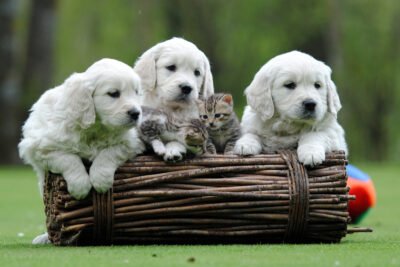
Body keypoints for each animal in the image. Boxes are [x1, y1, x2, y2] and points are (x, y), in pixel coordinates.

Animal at [18, 59, 145, 201]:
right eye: (113, 93)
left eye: (136, 92)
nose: (136, 113)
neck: (96, 128)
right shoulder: (41, 148)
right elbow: (68, 158)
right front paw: (80, 186)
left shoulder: (131, 142)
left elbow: (110, 152)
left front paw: (100, 179)